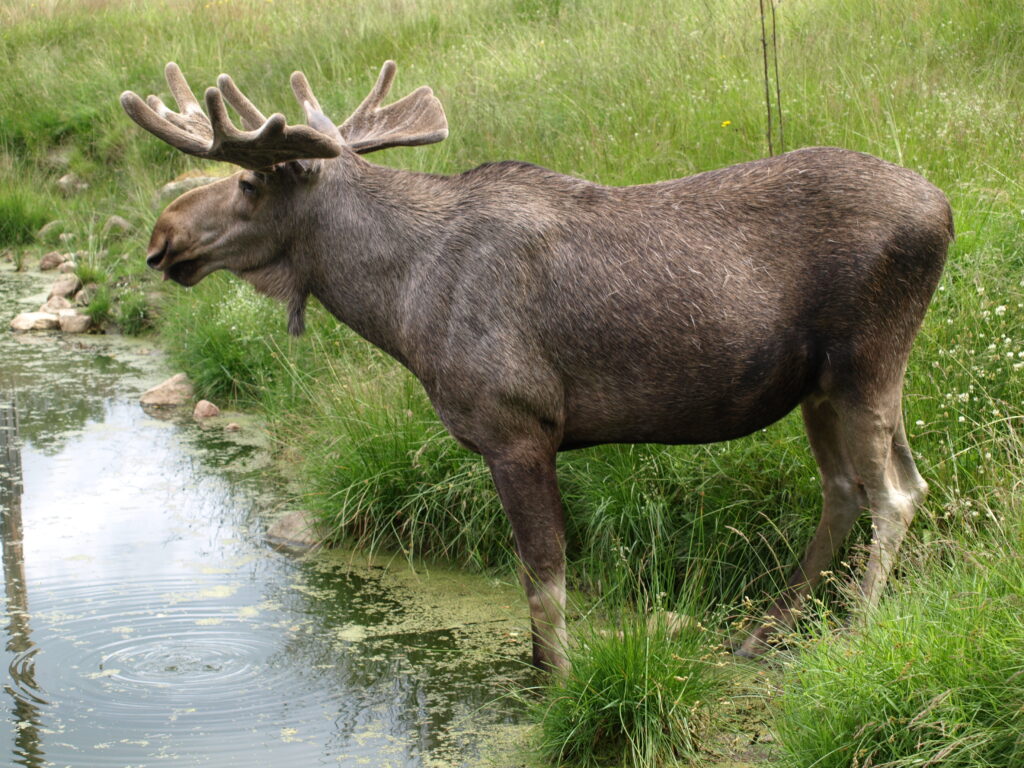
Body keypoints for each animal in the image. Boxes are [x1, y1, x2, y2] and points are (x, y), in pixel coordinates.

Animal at [121, 61, 950, 671]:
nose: (162, 239)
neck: (400, 303)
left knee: (896, 494)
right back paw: (762, 634)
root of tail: (945, 211)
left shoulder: (516, 427)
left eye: (249, 181)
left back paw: (853, 631)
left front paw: (555, 681)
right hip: (824, 384)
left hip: (868, 361)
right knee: (849, 488)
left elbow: (543, 584)